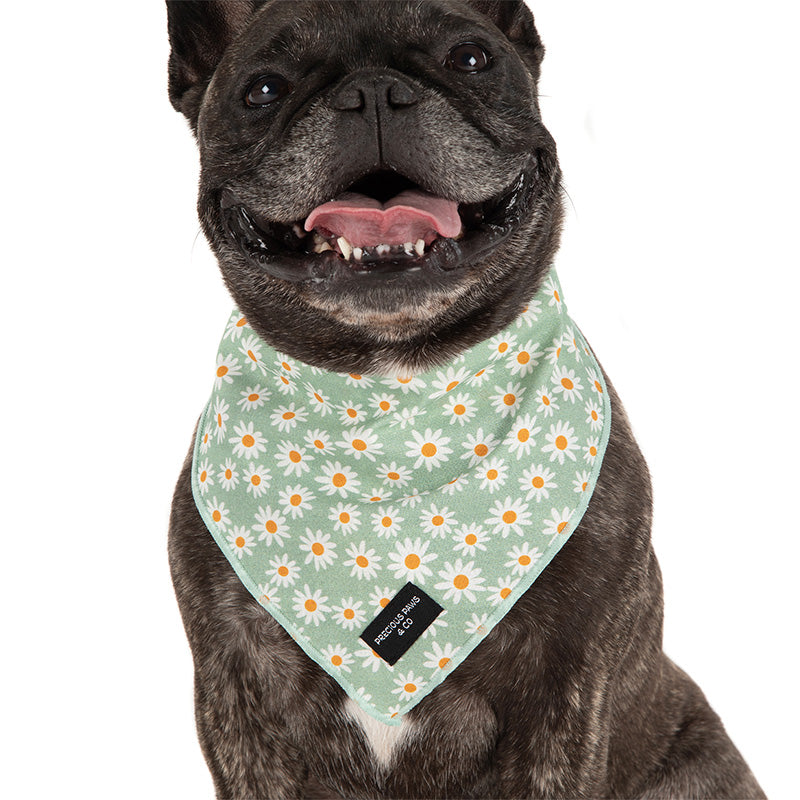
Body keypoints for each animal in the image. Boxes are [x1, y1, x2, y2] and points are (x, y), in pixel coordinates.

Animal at [167, 3, 764, 796]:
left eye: (471, 58)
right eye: (263, 88)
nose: (372, 92)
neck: (395, 396)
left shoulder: (565, 687)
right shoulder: (239, 689)